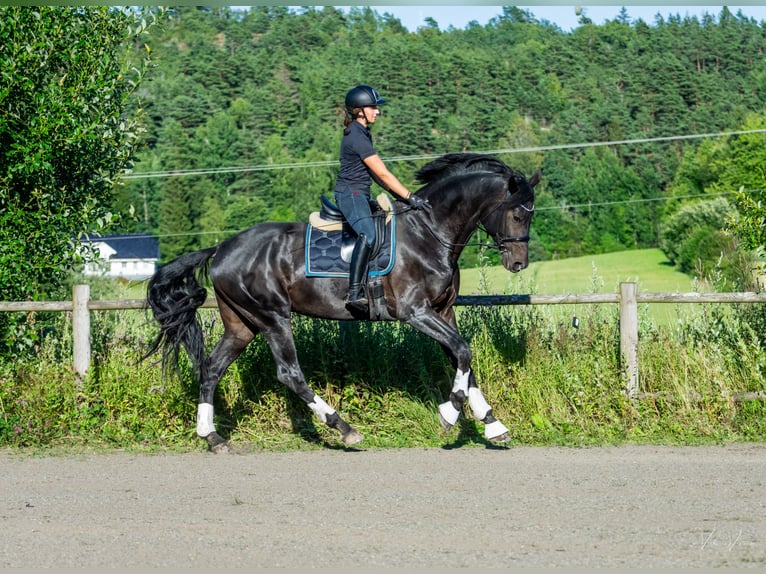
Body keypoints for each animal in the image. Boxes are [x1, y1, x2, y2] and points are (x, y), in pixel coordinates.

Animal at [144, 153, 540, 454]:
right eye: (518, 214)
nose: (519, 264)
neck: (429, 232)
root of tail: (222, 248)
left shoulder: (443, 311)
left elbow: (462, 358)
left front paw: (492, 424)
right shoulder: (416, 312)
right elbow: (463, 352)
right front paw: (449, 414)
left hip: (242, 323)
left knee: (212, 368)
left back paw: (213, 437)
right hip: (272, 317)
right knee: (289, 373)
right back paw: (343, 427)